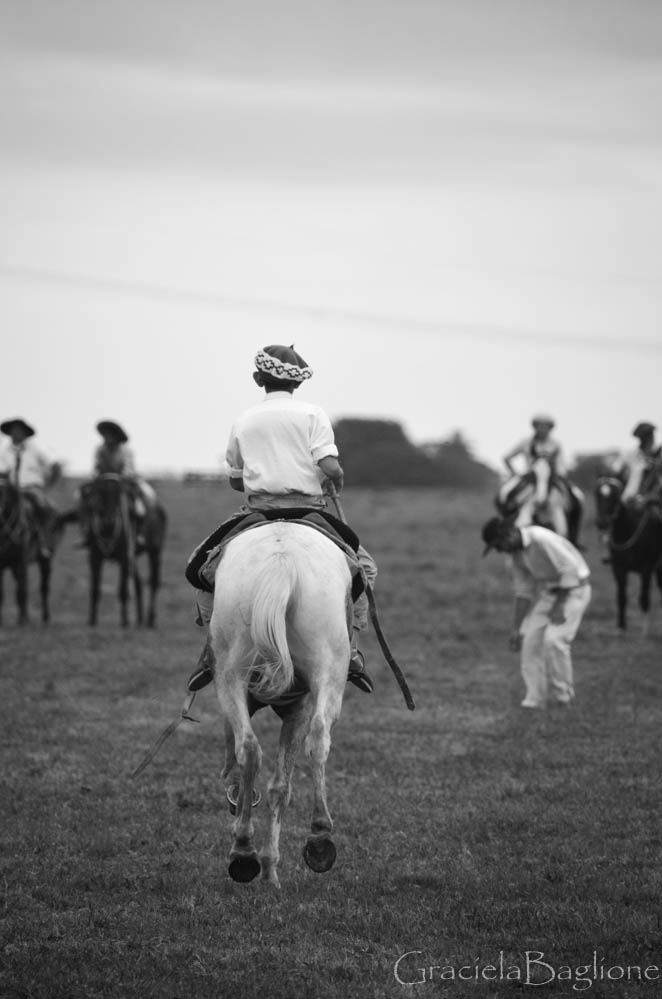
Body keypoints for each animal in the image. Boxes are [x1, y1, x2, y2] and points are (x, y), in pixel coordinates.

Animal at [0, 476, 61, 624]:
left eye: (1, 494)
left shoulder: (21, 562)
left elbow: (22, 591)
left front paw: (23, 620)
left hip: (45, 562)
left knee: (43, 588)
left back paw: (45, 617)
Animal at [79, 474, 167, 624]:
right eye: (100, 494)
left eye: (117, 495)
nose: (109, 520)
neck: (108, 531)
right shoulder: (94, 559)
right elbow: (95, 589)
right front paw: (92, 620)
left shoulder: (124, 559)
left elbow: (123, 591)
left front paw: (125, 621)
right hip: (134, 559)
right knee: (138, 584)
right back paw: (140, 620)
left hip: (154, 552)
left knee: (154, 582)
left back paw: (150, 619)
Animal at [210, 520, 356, 888]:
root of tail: (282, 561)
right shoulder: (300, 705)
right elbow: (283, 785)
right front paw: (270, 868)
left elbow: (277, 785)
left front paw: (267, 868)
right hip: (328, 670)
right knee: (318, 739)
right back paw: (318, 836)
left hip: (231, 674)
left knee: (249, 748)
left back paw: (244, 850)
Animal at [596, 472, 662, 628]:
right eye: (597, 493)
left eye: (615, 494)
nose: (602, 522)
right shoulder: (619, 569)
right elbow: (621, 598)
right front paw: (621, 628)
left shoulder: (646, 570)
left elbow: (644, 600)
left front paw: (644, 631)